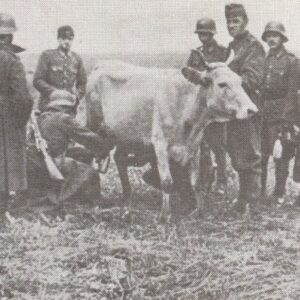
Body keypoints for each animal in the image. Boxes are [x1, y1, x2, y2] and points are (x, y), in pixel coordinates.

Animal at [84, 55, 258, 220]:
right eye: (222, 84)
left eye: (240, 81)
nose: (252, 110)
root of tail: (101, 64)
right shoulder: (160, 144)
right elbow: (167, 182)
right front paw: (164, 216)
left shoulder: (194, 146)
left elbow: (196, 182)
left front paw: (198, 211)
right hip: (94, 125)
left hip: (125, 135)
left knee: (119, 159)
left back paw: (128, 195)